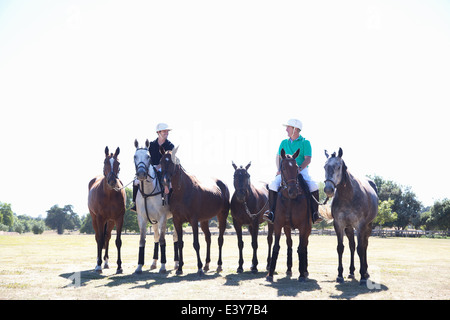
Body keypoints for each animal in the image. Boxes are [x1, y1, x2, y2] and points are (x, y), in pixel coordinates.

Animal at [88, 146, 126, 274]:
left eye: (118, 163)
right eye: (105, 162)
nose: (112, 181)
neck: (109, 194)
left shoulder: (119, 218)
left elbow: (118, 241)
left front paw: (119, 267)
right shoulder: (100, 218)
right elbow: (100, 240)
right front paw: (98, 266)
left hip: (110, 221)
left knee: (108, 237)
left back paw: (106, 262)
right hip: (94, 219)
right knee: (98, 237)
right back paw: (98, 262)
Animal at [133, 139, 178, 274]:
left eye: (148, 156)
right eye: (135, 156)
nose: (141, 174)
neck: (148, 191)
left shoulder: (162, 218)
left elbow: (163, 240)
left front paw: (163, 266)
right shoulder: (143, 218)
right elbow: (143, 240)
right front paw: (139, 266)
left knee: (175, 237)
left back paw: (176, 263)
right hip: (154, 221)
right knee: (156, 237)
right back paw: (153, 263)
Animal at [160, 146, 230, 276]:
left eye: (172, 162)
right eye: (161, 161)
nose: (165, 181)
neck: (182, 191)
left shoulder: (193, 220)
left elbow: (196, 244)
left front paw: (199, 267)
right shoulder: (177, 221)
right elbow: (180, 244)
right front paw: (180, 268)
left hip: (222, 216)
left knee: (220, 240)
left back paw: (218, 266)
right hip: (204, 221)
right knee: (208, 238)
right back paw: (207, 264)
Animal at [266, 148, 312, 282]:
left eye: (297, 168)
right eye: (283, 168)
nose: (293, 191)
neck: (290, 200)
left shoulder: (303, 226)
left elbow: (301, 248)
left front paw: (301, 274)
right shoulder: (278, 224)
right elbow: (276, 246)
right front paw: (270, 274)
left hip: (309, 228)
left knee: (304, 245)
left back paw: (305, 271)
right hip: (287, 228)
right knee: (290, 243)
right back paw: (289, 269)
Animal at [326, 148, 378, 284]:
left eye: (338, 166)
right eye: (324, 166)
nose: (328, 189)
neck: (348, 196)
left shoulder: (360, 226)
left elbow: (361, 249)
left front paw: (363, 276)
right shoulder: (339, 225)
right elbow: (341, 248)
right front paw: (340, 275)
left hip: (368, 226)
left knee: (364, 246)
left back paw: (366, 272)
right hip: (349, 228)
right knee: (352, 246)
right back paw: (351, 272)